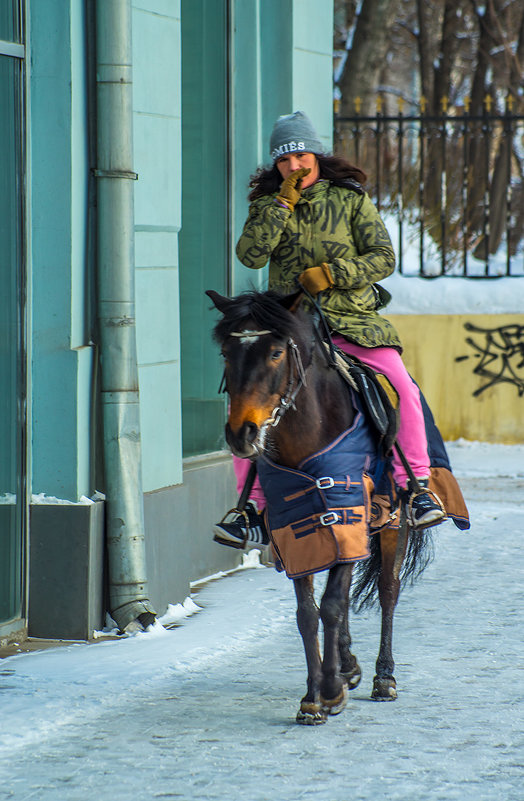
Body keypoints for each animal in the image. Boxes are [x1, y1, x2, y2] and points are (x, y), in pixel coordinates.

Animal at [207, 288, 432, 724]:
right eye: (226, 351)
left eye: (276, 352)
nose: (241, 433)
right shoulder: (295, 530)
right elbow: (308, 613)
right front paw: (314, 696)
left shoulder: (348, 515)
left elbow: (331, 605)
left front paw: (329, 690)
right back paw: (348, 665)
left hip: (393, 522)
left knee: (388, 589)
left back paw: (383, 677)